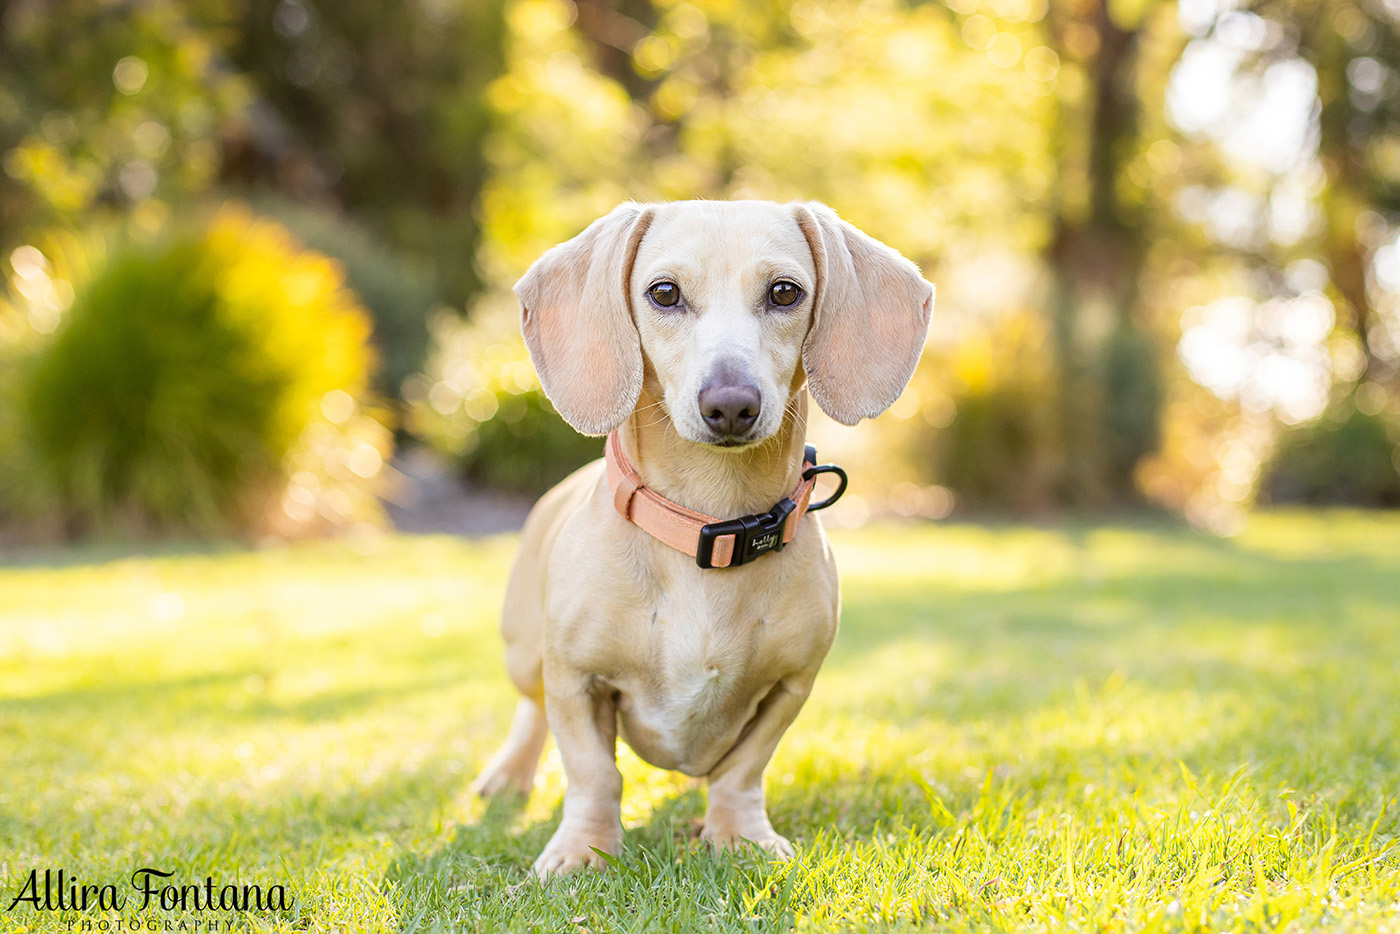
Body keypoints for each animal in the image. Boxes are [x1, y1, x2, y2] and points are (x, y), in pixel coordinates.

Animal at [467, 197, 929, 879]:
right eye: (664, 292)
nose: (731, 404)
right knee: (531, 708)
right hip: (525, 652)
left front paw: (739, 834)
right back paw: (508, 775)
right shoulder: (576, 678)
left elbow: (743, 770)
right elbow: (592, 772)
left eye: (785, 291)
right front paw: (583, 851)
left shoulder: (792, 685)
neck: (707, 527)